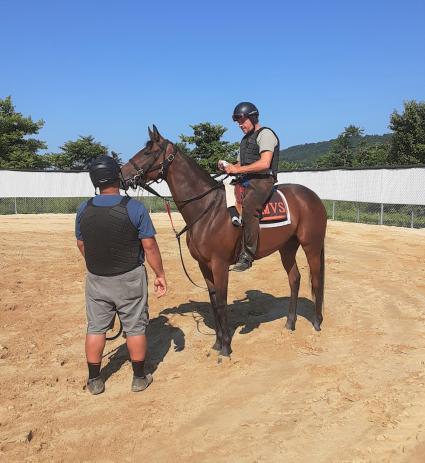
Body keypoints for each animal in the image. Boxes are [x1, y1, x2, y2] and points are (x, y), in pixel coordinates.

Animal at [121, 125, 326, 358]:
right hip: (287, 248)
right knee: (295, 279)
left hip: (311, 246)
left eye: (148, 152)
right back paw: (290, 323)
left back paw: (317, 322)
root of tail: (313, 197)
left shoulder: (219, 265)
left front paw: (226, 346)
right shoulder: (204, 265)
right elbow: (213, 302)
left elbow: (221, 301)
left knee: (316, 280)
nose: (121, 175)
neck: (207, 208)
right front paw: (218, 343)